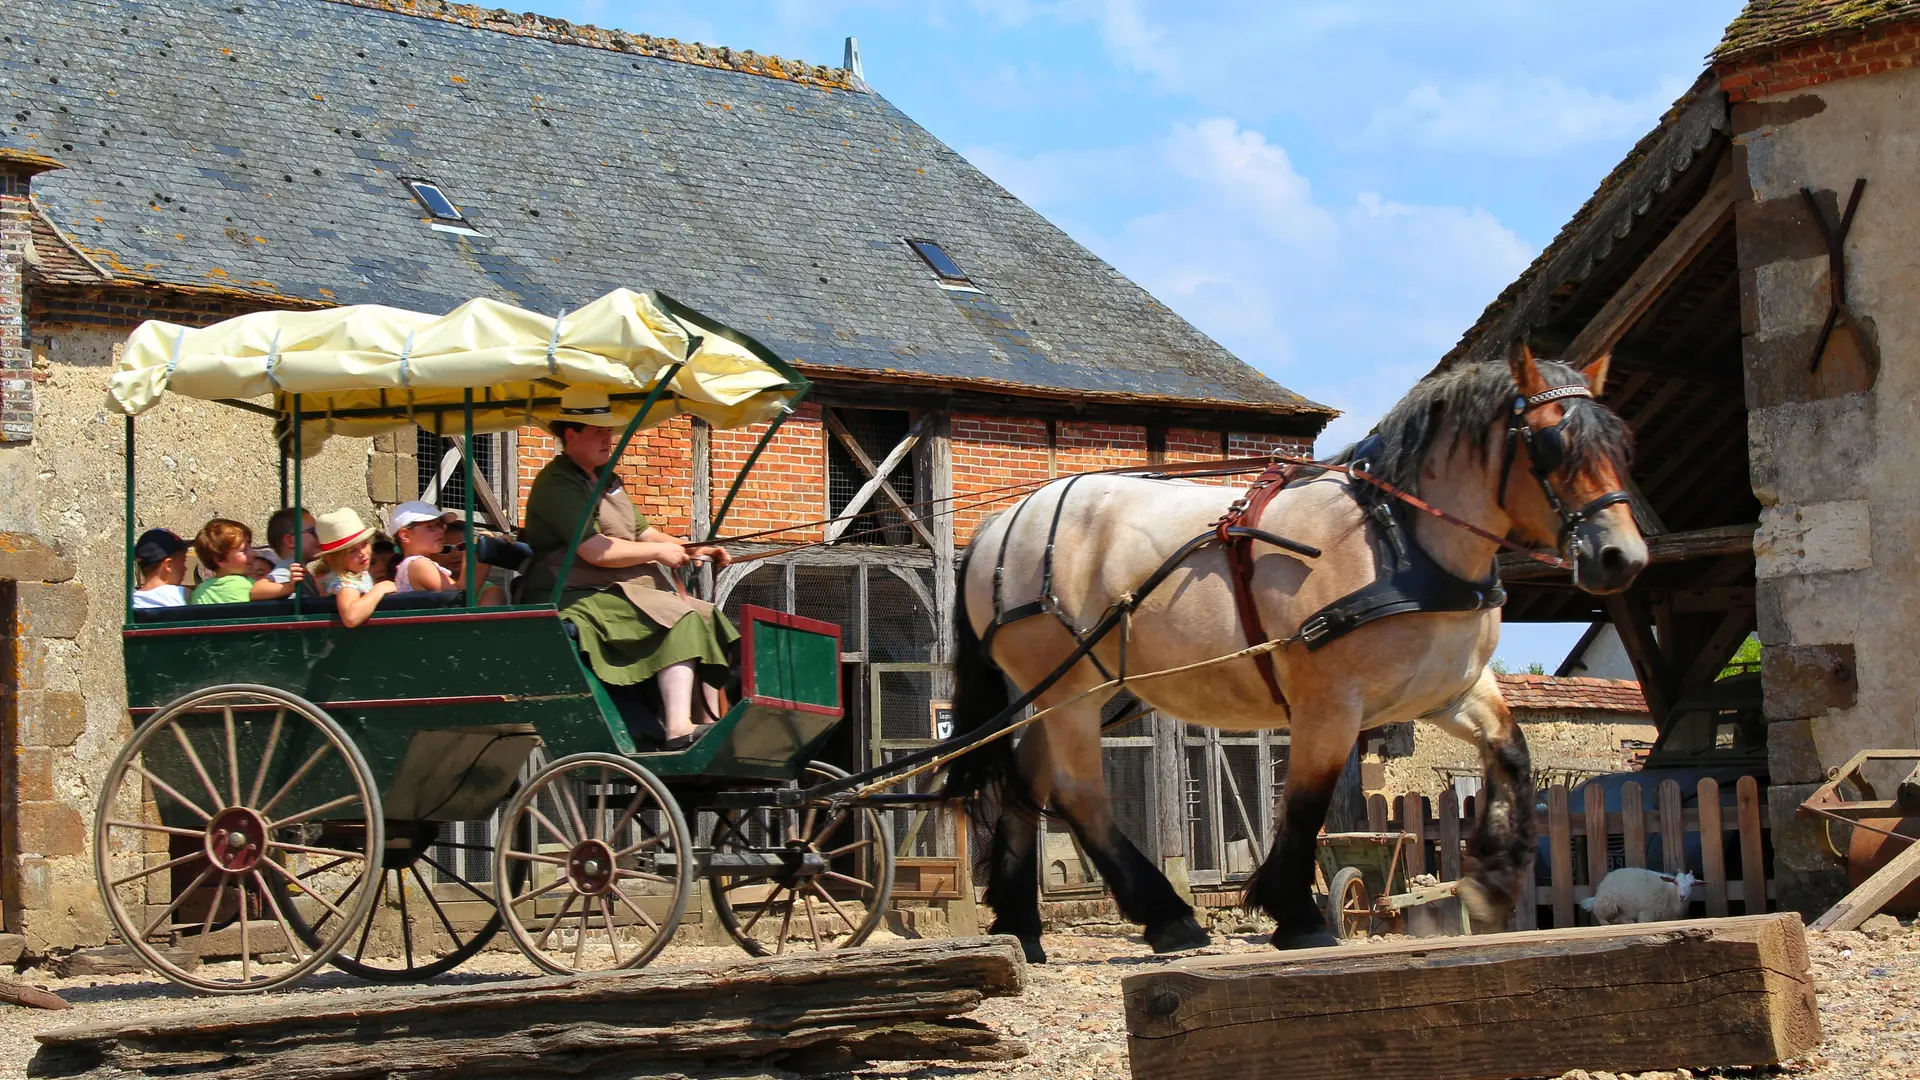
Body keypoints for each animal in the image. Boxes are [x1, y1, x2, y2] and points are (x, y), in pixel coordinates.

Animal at [944, 343, 1651, 957]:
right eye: (1552, 442)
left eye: (1620, 444)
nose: (1623, 557)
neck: (1400, 542)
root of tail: (1001, 524)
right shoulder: (1329, 701)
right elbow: (1307, 804)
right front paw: (1297, 913)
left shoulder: (1450, 690)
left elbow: (1512, 755)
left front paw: (1492, 881)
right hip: (1067, 691)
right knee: (1078, 792)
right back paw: (1167, 917)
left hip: (1078, 691)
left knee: (1025, 782)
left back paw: (1020, 924)